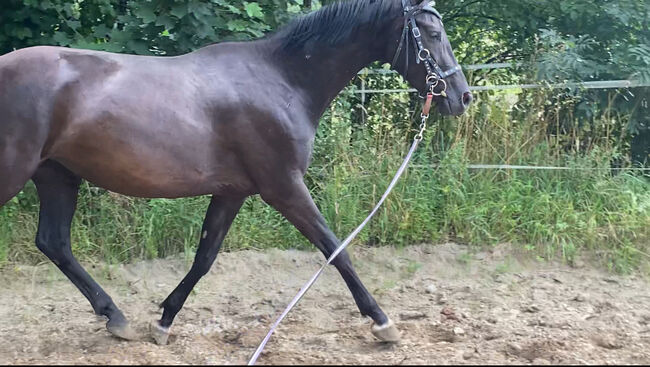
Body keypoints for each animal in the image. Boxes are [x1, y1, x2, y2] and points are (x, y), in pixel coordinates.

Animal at [2, 0, 470, 344]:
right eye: (432, 33)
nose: (462, 96)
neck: (283, 80)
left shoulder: (233, 191)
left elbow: (205, 257)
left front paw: (164, 321)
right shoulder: (283, 186)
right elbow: (336, 248)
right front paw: (382, 322)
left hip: (57, 175)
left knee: (54, 242)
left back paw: (116, 318)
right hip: (18, 172)